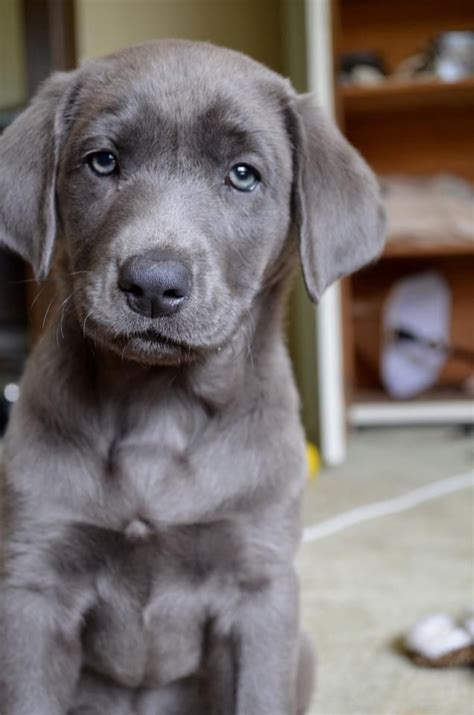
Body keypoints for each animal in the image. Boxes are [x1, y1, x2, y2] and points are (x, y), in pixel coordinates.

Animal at [0, 40, 386, 715]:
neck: (160, 406)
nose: (153, 283)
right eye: (103, 161)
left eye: (243, 174)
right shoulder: (32, 585)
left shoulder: (258, 586)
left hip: (303, 649)